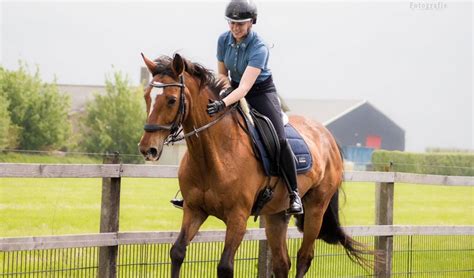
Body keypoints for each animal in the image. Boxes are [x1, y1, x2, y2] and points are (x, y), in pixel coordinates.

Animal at [139, 53, 372, 276]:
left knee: (304, 258)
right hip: (276, 215)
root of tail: (328, 137)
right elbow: (177, 252)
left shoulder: (238, 218)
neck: (214, 155)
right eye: (146, 96)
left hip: (316, 209)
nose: (147, 149)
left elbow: (225, 266)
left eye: (171, 100)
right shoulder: (194, 210)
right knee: (282, 264)